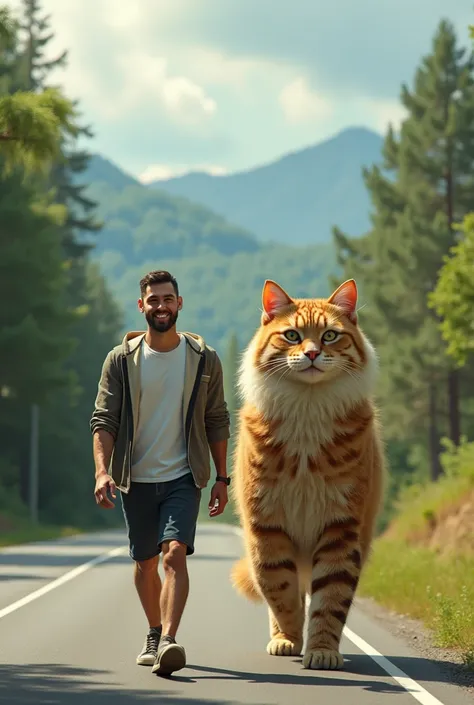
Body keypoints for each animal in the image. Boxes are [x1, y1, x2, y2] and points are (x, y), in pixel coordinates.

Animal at [230, 278, 386, 668]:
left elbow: (330, 601)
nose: (313, 353)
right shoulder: (267, 524)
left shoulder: (340, 527)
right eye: (292, 335)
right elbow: (281, 594)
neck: (308, 406)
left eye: (330, 335)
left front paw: (322, 651)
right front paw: (288, 640)